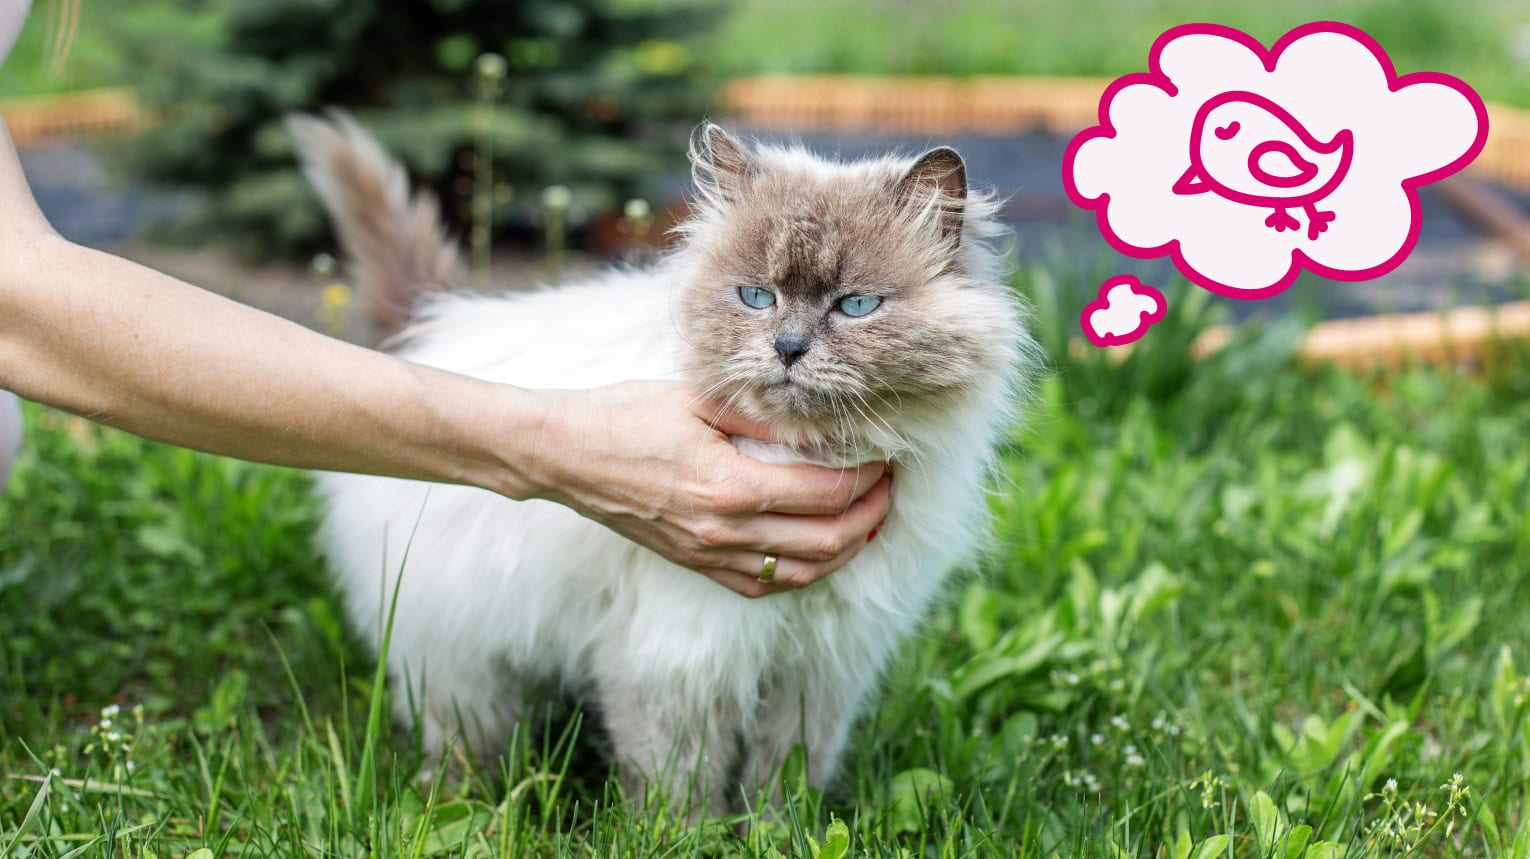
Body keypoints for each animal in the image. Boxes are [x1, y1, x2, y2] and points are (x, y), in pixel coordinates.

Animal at [289, 114, 1040, 814]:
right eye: (756, 297)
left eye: (854, 305)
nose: (789, 348)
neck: (810, 452)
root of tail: (435, 322)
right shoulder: (677, 657)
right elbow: (678, 784)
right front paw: (688, 836)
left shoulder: (820, 666)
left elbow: (784, 780)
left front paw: (772, 836)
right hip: (459, 661)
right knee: (464, 738)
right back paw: (457, 800)